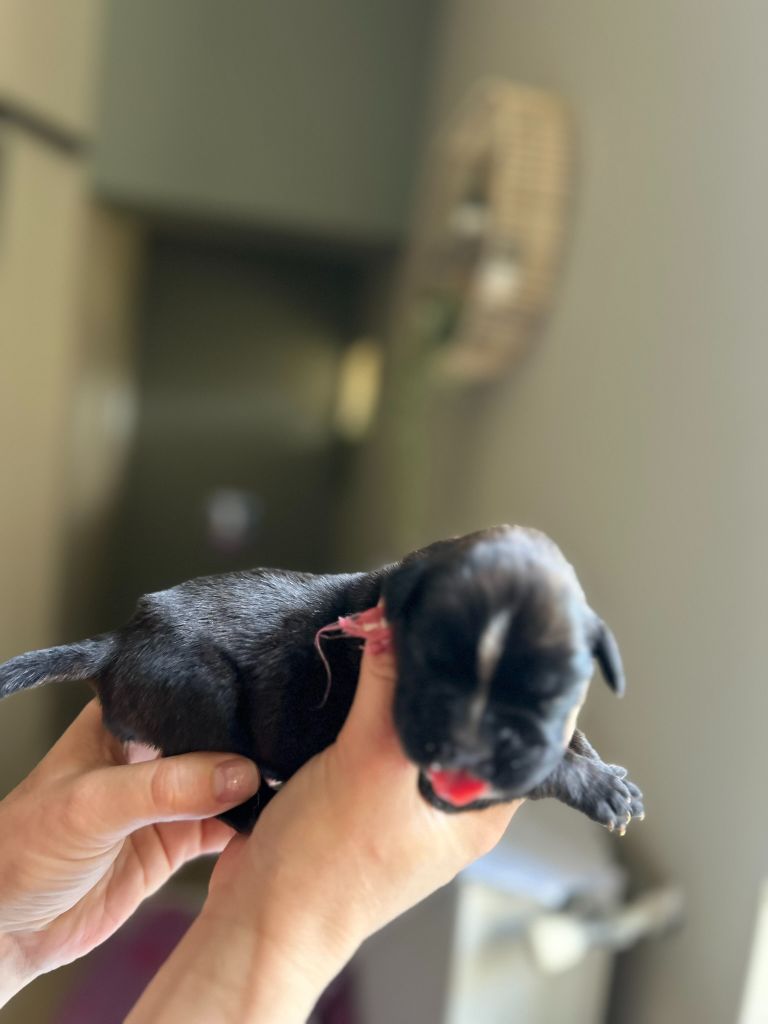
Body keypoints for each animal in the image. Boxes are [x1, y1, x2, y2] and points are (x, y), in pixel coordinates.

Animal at [0, 525, 643, 833]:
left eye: (553, 691)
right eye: (428, 666)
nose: (468, 749)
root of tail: (117, 642)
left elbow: (565, 738)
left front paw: (604, 769)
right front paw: (595, 785)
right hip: (201, 691)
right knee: (227, 798)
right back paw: (262, 811)